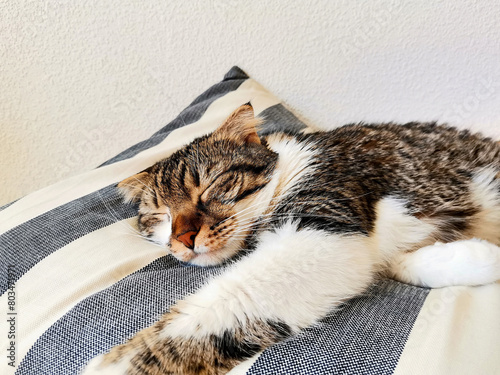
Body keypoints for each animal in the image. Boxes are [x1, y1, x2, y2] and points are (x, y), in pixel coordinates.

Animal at [82, 103, 500, 375]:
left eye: (210, 186)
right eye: (160, 215)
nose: (183, 238)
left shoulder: (322, 223)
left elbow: (216, 307)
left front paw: (114, 366)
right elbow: (402, 261)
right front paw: (474, 257)